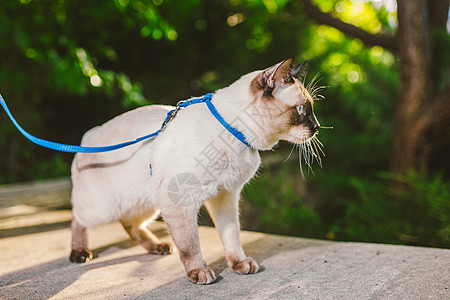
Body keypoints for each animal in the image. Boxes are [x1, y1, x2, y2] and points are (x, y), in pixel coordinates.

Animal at [69, 57, 320, 284]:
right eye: (301, 109)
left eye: (311, 109)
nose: (317, 127)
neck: (236, 136)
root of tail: (89, 134)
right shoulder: (181, 201)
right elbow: (190, 245)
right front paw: (200, 273)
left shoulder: (225, 197)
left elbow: (232, 235)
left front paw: (240, 264)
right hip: (105, 209)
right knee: (78, 218)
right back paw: (79, 254)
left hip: (147, 204)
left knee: (129, 224)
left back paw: (158, 247)